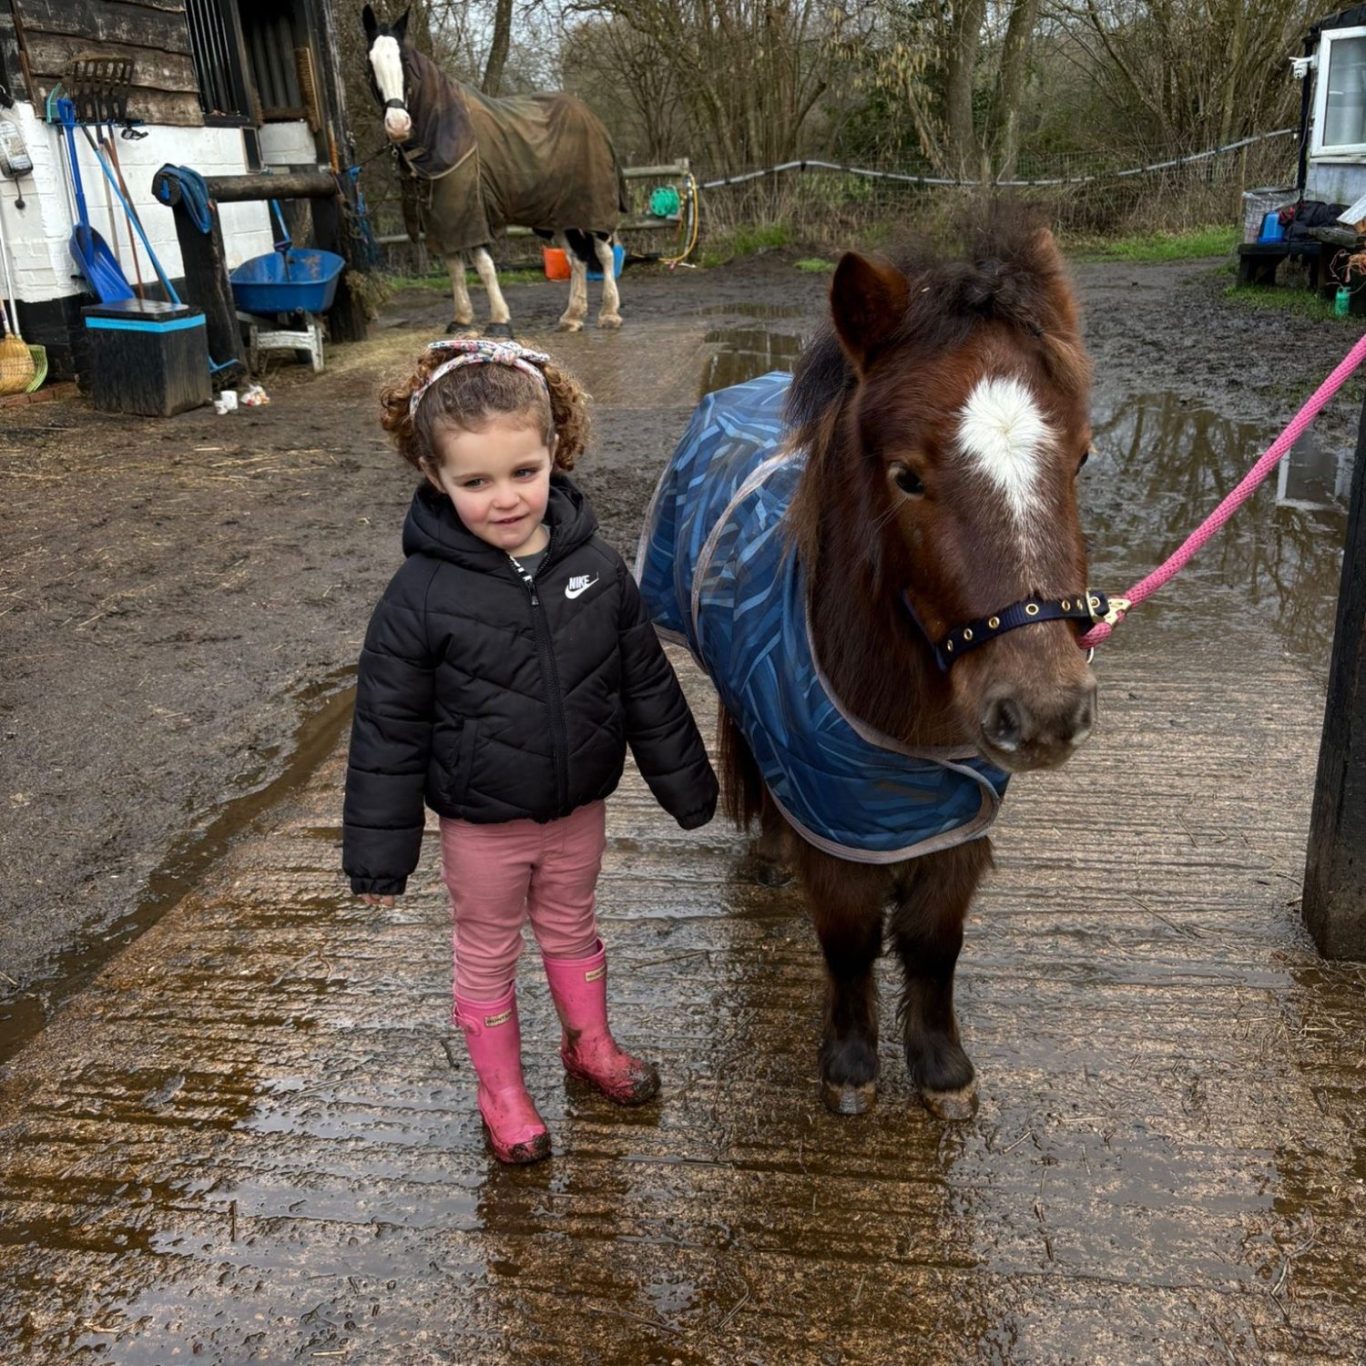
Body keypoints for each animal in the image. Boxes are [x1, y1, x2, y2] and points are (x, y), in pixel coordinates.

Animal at [362, 5, 627, 337]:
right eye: (369, 65)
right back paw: (572, 317)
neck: (445, 131)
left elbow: (484, 266)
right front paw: (461, 320)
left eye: (406, 62)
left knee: (604, 253)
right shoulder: (443, 219)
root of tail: (592, 118)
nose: (398, 125)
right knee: (576, 258)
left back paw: (609, 313)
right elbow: (454, 267)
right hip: (558, 214)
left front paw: (500, 321)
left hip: (593, 209)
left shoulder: (472, 213)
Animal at [637, 216, 1099, 1120]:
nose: (1045, 713)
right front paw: (851, 1066)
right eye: (906, 475)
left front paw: (943, 1070)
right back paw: (771, 858)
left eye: (1083, 459)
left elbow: (933, 942)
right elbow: (849, 942)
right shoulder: (838, 825)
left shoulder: (956, 827)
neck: (904, 731)